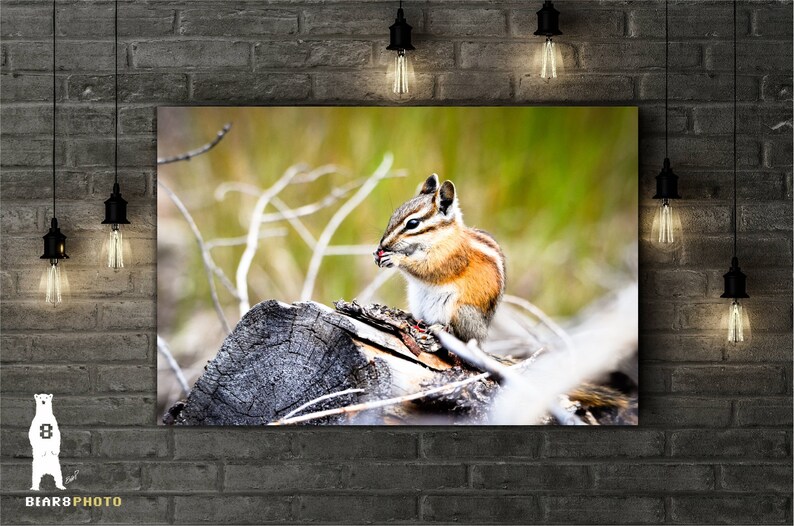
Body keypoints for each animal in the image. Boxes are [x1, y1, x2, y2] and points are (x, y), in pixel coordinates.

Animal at [374, 174, 505, 344]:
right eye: (394, 214)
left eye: (413, 223)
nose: (383, 244)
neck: (442, 236)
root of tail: (482, 336)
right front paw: (377, 253)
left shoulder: (449, 257)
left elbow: (428, 269)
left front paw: (395, 258)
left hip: (461, 311)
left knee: (463, 336)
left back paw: (442, 328)